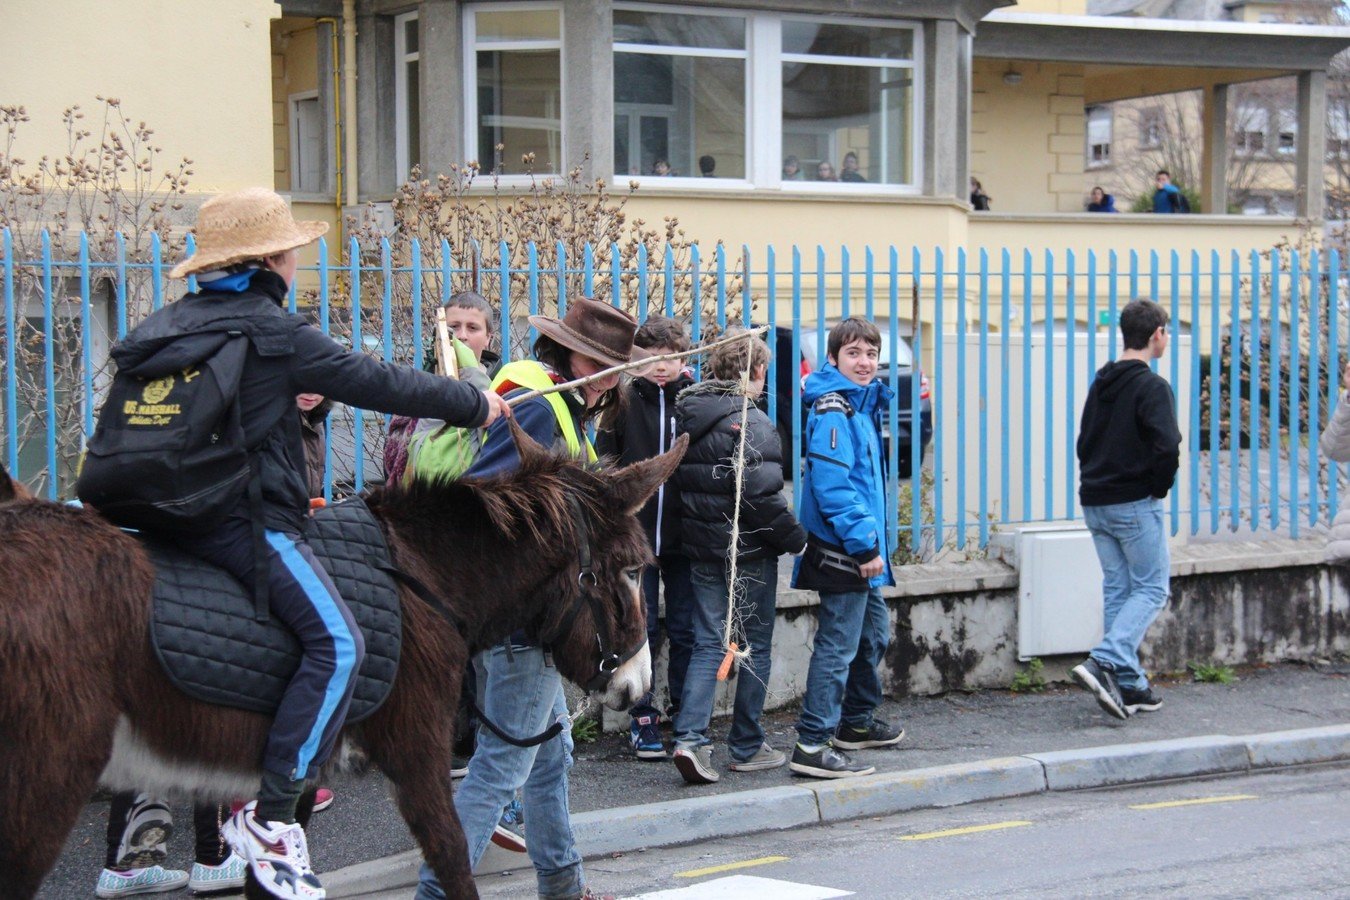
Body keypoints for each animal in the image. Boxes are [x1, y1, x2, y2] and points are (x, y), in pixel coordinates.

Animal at [0, 424, 687, 899]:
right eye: (633, 570)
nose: (639, 686)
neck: (424, 577)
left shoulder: (296, 770)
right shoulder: (415, 752)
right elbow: (453, 857)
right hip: (48, 777)